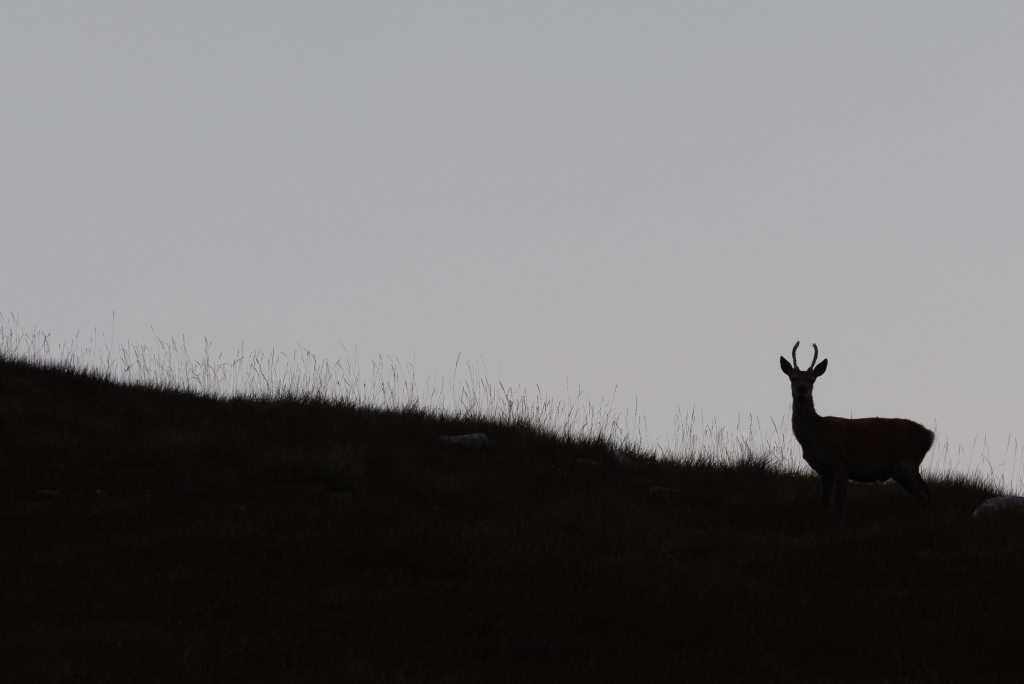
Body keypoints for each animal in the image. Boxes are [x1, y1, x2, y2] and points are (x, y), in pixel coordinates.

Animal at [779, 341, 933, 515]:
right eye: (792, 377)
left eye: (812, 380)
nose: (802, 389)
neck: (817, 433)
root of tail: (929, 436)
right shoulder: (824, 472)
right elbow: (824, 502)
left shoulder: (842, 463)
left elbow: (840, 503)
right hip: (904, 471)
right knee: (924, 494)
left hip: (907, 463)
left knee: (925, 494)